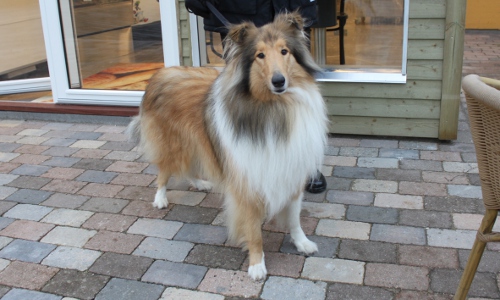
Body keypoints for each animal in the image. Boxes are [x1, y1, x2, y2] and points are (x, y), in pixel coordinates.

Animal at [127, 11, 328, 278]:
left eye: (284, 51)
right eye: (260, 55)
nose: (279, 81)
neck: (274, 110)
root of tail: (159, 73)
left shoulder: (291, 172)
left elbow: (294, 218)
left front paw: (302, 243)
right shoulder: (247, 181)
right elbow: (253, 230)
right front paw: (256, 264)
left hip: (196, 142)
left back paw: (199, 182)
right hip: (174, 144)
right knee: (164, 170)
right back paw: (160, 198)